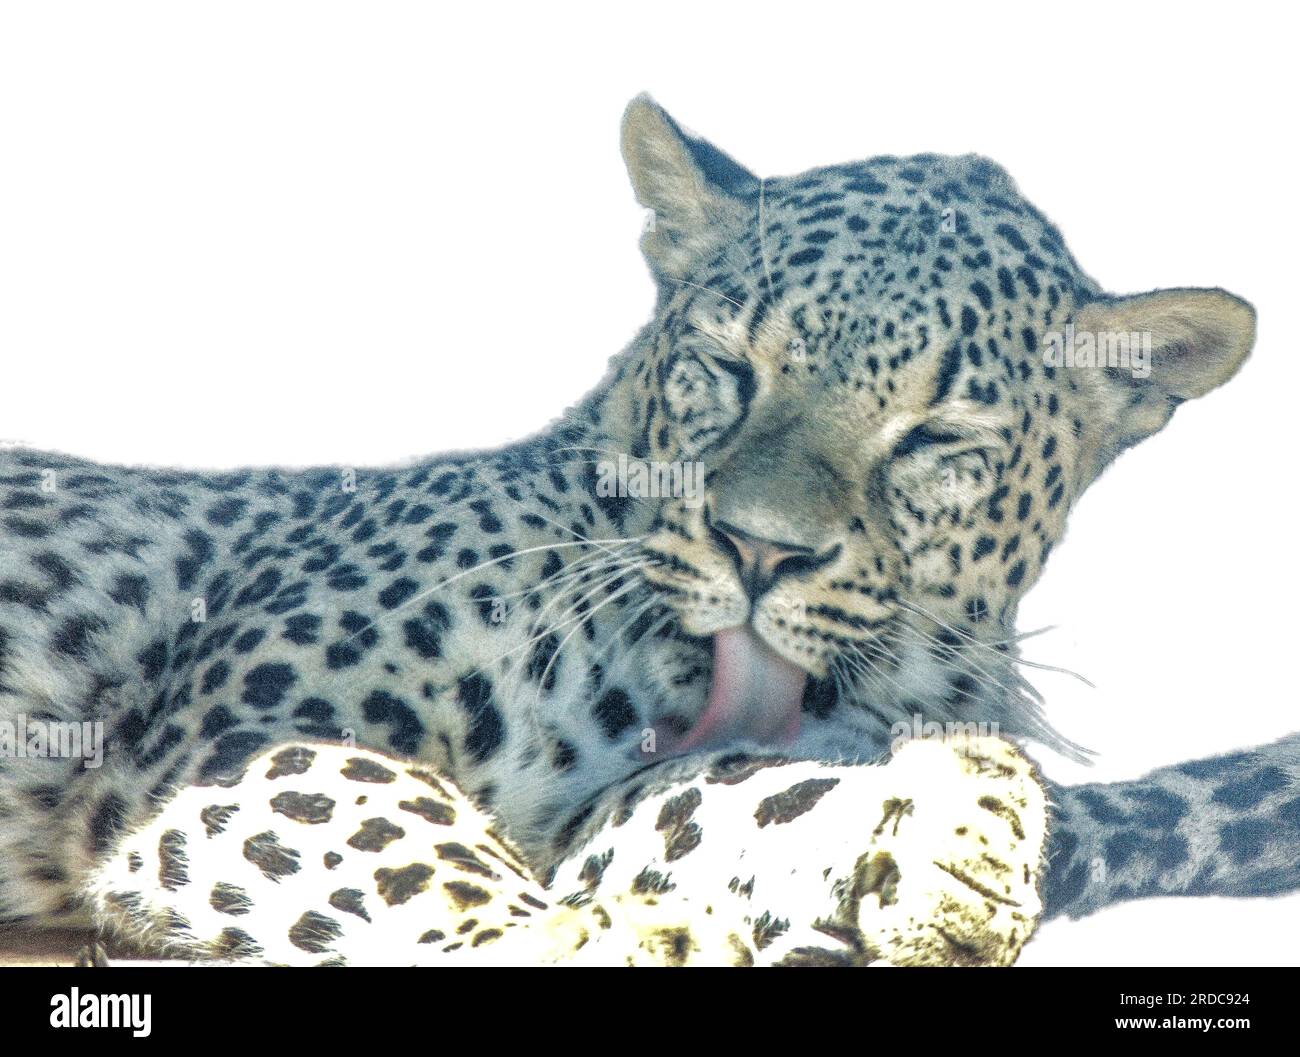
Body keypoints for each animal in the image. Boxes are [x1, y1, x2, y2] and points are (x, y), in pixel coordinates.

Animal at [0, 95, 1295, 966]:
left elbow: (743, 791)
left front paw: (950, 827)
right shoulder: (238, 731)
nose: (759, 550)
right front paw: (565, 938)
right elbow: (395, 820)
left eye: (934, 435)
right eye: (728, 366)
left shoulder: (621, 798)